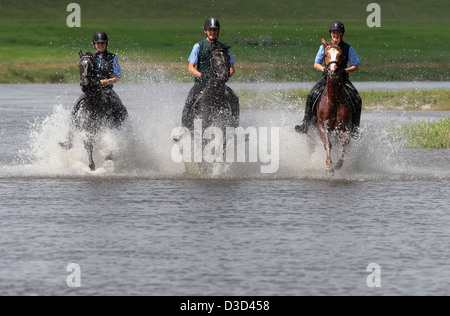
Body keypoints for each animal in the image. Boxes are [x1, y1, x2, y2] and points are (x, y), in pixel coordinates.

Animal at [312, 38, 356, 174]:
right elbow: (328, 144)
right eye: (326, 54)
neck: (334, 100)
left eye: (340, 55)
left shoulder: (346, 127)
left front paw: (338, 165)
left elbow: (343, 145)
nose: (333, 71)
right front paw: (329, 166)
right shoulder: (323, 126)